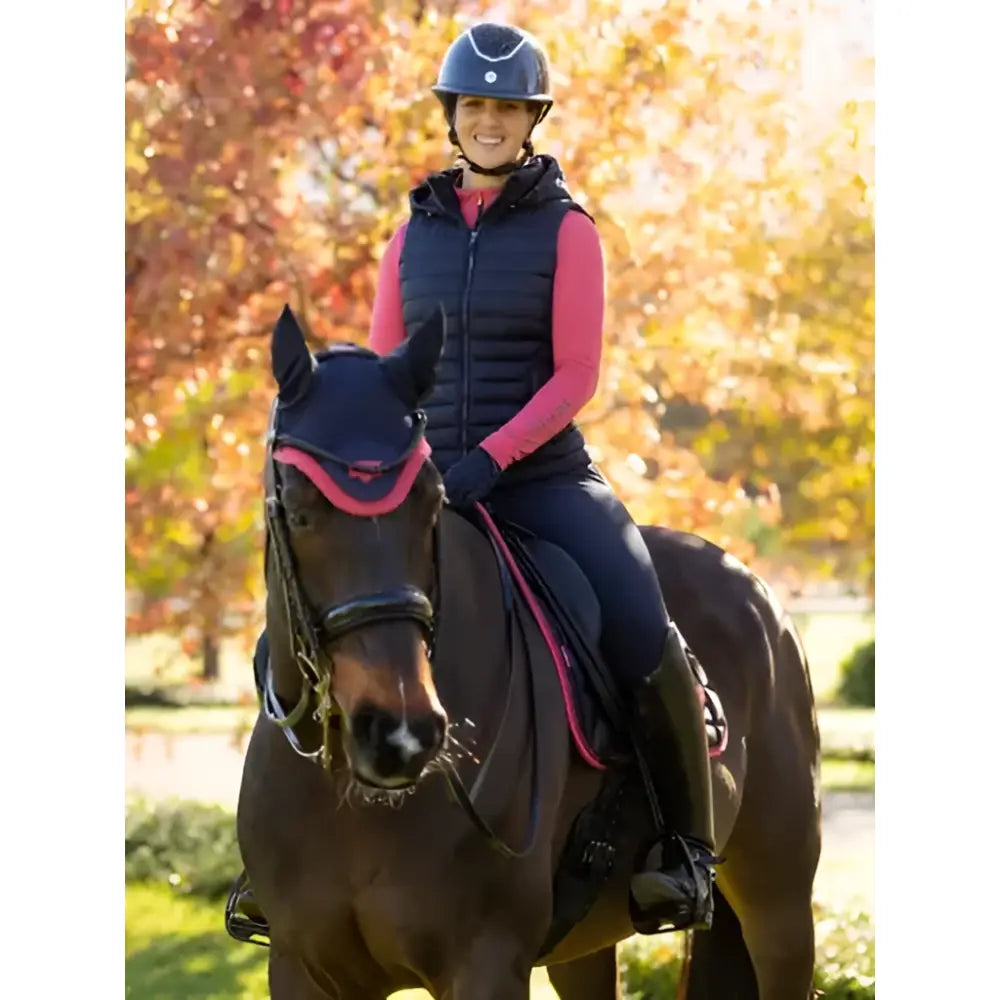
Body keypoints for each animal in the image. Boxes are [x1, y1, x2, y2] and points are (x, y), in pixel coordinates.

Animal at [231, 304, 822, 999]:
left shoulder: (486, 961)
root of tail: (754, 588)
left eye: (430, 501)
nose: (398, 732)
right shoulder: (302, 967)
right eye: (298, 510)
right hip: (584, 943)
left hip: (780, 908)